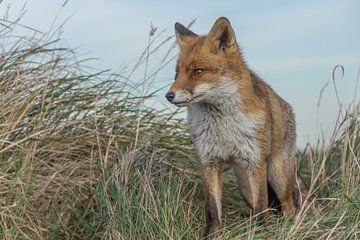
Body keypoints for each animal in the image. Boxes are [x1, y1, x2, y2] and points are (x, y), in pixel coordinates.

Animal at [165, 16, 312, 238]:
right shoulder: (208, 162)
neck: (223, 127)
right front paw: (212, 235)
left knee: (289, 208)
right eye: (176, 74)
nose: (169, 95)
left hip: (277, 176)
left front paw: (262, 233)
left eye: (197, 71)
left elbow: (261, 209)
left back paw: (291, 228)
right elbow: (212, 211)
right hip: (244, 186)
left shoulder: (255, 163)